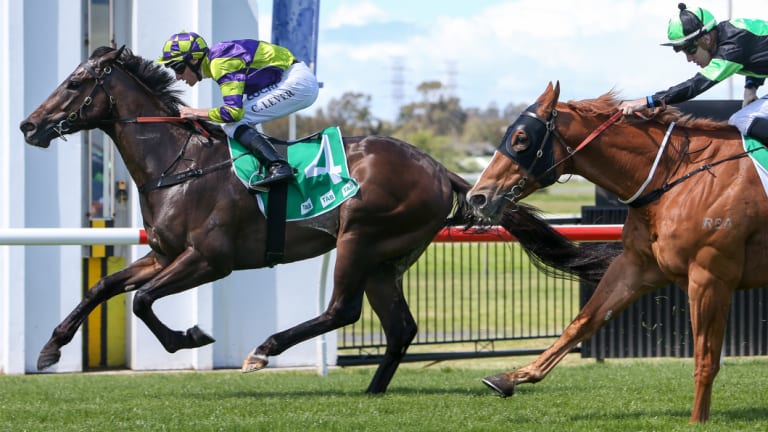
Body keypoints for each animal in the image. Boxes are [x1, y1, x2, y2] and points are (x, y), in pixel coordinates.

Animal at [18, 49, 612, 394]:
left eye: (75, 84)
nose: (28, 126)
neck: (179, 163)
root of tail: (439, 168)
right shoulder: (162, 253)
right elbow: (104, 287)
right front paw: (50, 349)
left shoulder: (209, 260)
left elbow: (142, 301)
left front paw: (189, 337)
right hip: (388, 258)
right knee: (400, 327)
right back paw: (372, 391)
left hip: (360, 238)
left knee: (342, 310)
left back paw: (265, 350)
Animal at [464, 81, 764, 422]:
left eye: (521, 138)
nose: (478, 197)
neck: (675, 176)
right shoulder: (637, 266)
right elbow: (583, 321)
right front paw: (510, 377)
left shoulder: (710, 276)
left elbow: (706, 359)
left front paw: (696, 421)